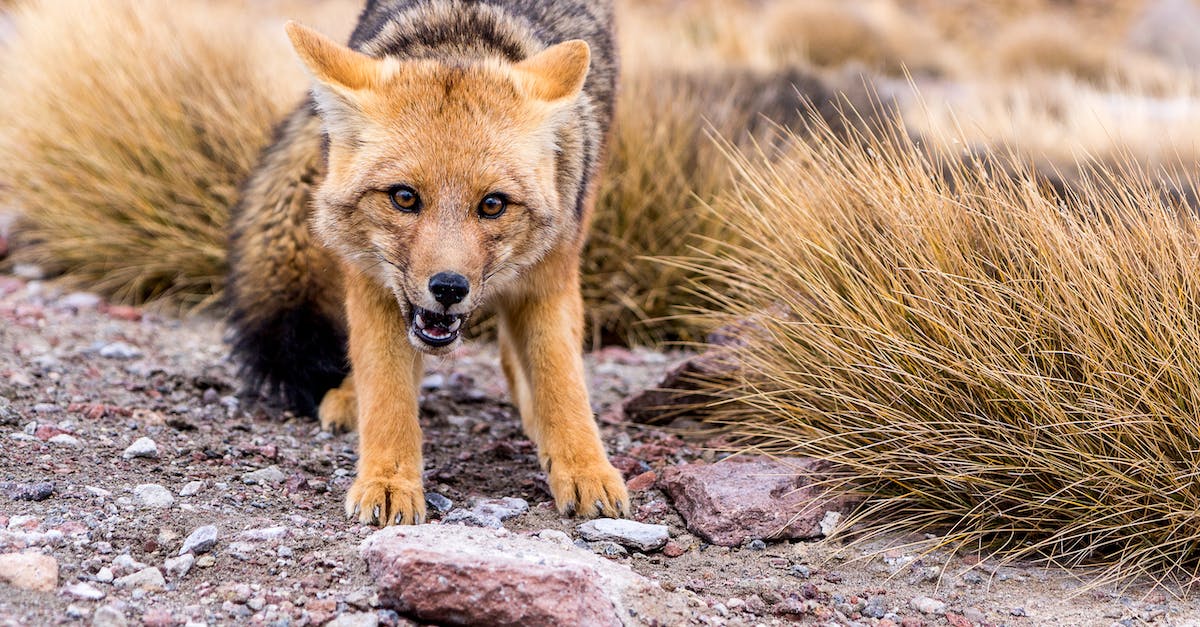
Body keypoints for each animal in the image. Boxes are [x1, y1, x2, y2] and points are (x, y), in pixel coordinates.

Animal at [226, 0, 629, 526]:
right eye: (404, 197)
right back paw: (351, 397)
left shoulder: (549, 279)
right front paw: (389, 481)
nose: (449, 287)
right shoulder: (372, 286)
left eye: (492, 205)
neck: (460, 37)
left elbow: (562, 382)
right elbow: (388, 395)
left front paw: (585, 469)